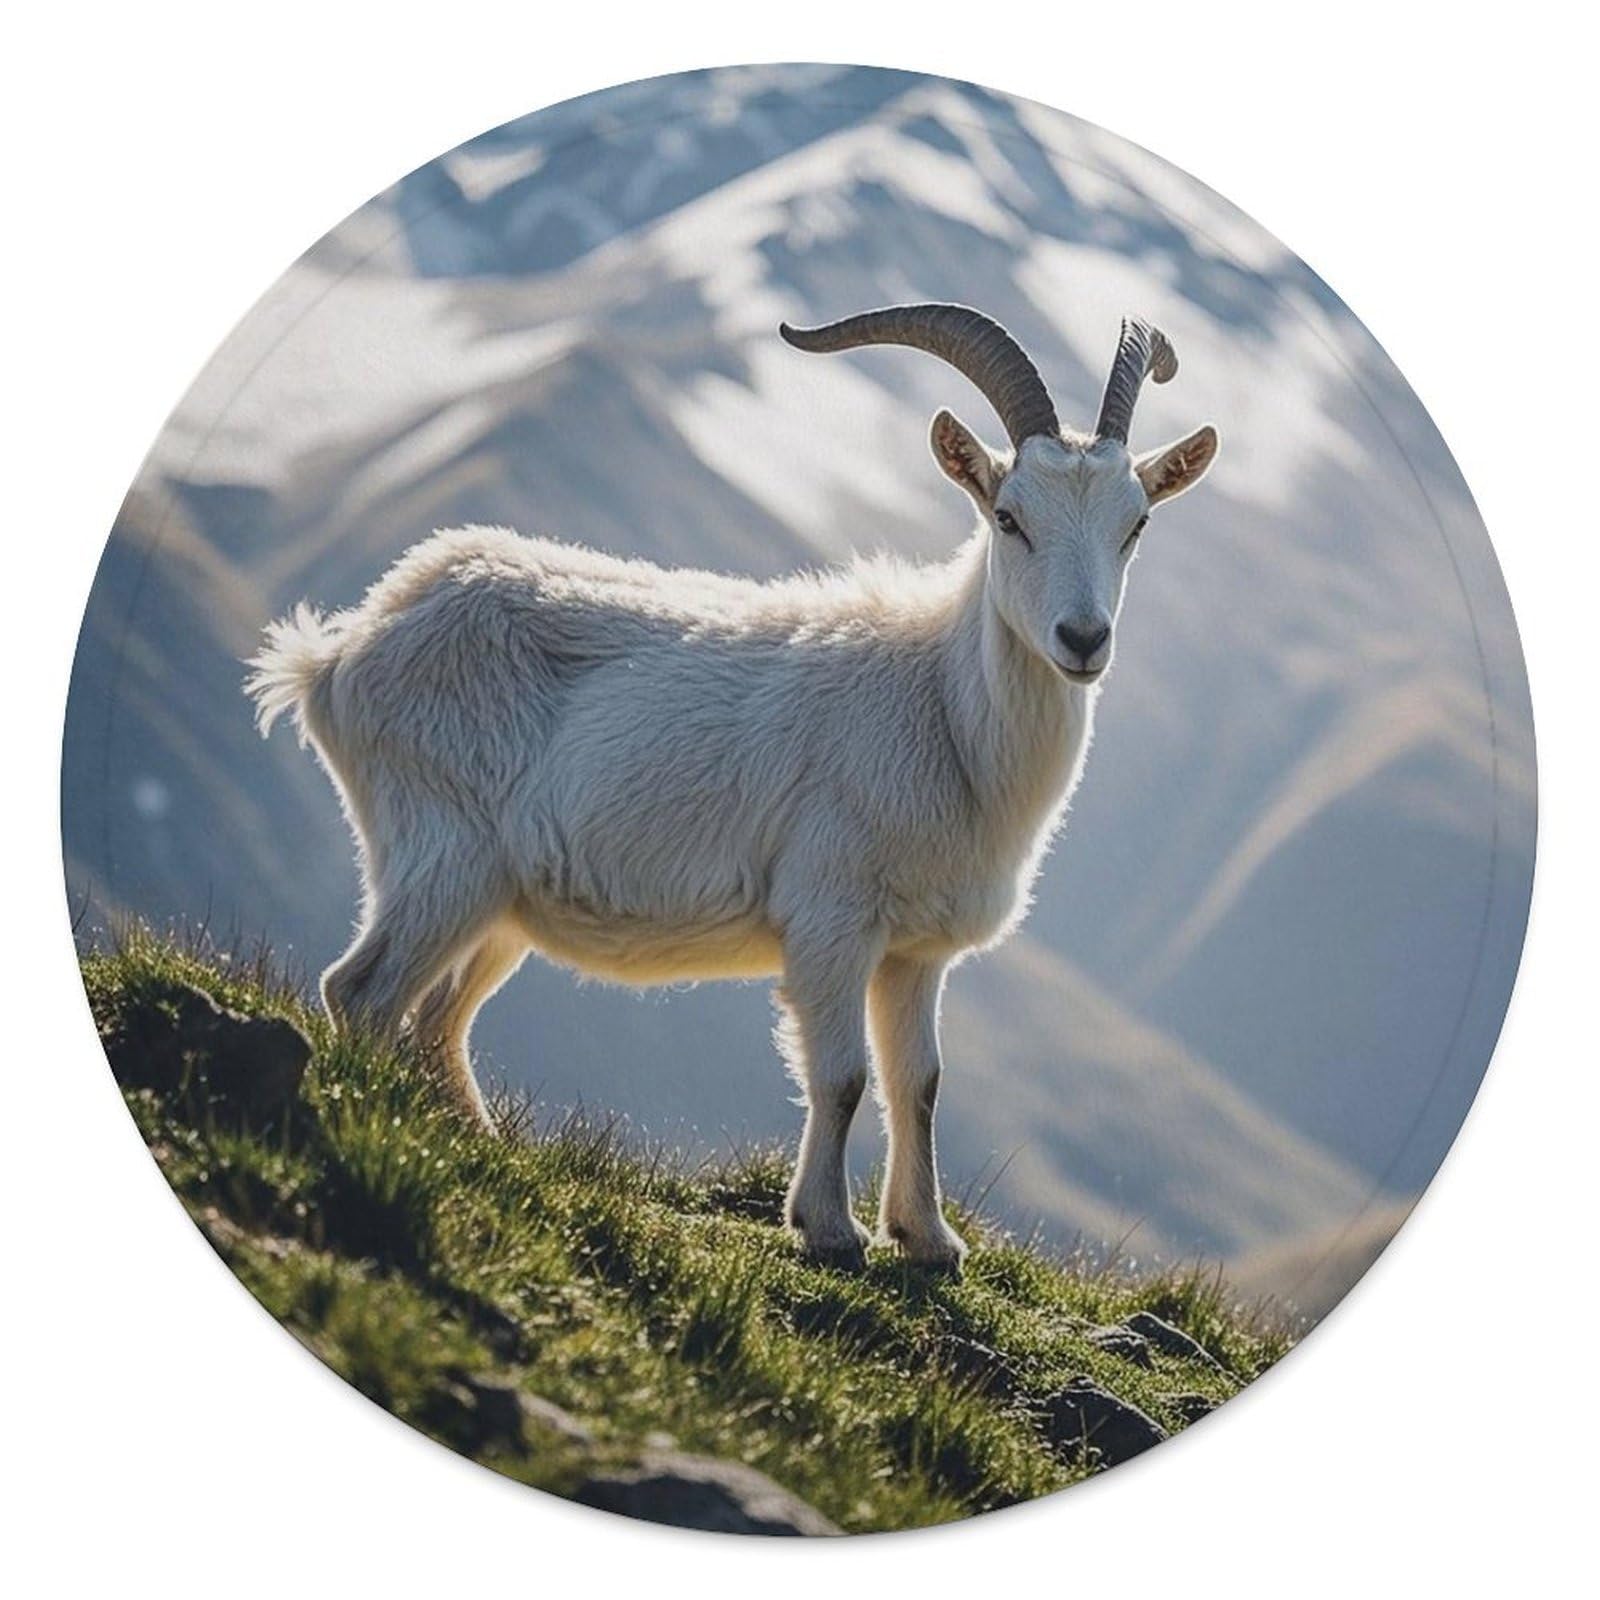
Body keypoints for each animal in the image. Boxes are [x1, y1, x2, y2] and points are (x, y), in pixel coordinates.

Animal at [247, 304, 1218, 1270]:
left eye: (1135, 524)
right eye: (1009, 517)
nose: (1082, 639)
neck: (940, 705)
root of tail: (341, 650)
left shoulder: (916, 951)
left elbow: (921, 1082)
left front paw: (928, 1239)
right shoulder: (830, 918)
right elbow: (842, 1075)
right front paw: (829, 1228)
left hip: (501, 903)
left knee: (437, 1017)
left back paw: (475, 1140)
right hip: (445, 852)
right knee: (363, 992)